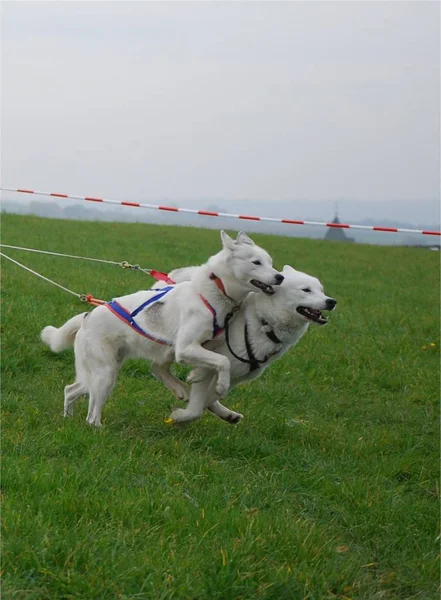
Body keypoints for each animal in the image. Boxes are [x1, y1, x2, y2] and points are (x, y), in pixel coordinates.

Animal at [40, 231, 282, 426]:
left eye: (271, 262)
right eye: (256, 262)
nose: (280, 277)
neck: (215, 290)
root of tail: (86, 317)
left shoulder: (201, 347)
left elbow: (212, 365)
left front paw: (196, 379)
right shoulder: (185, 348)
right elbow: (223, 363)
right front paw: (221, 386)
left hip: (104, 370)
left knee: (71, 389)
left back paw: (68, 418)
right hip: (105, 374)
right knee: (91, 413)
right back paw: (96, 428)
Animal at [167, 264, 336, 424]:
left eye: (321, 291)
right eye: (306, 290)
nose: (332, 301)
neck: (264, 323)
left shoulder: (237, 376)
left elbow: (208, 399)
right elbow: (197, 407)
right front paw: (179, 417)